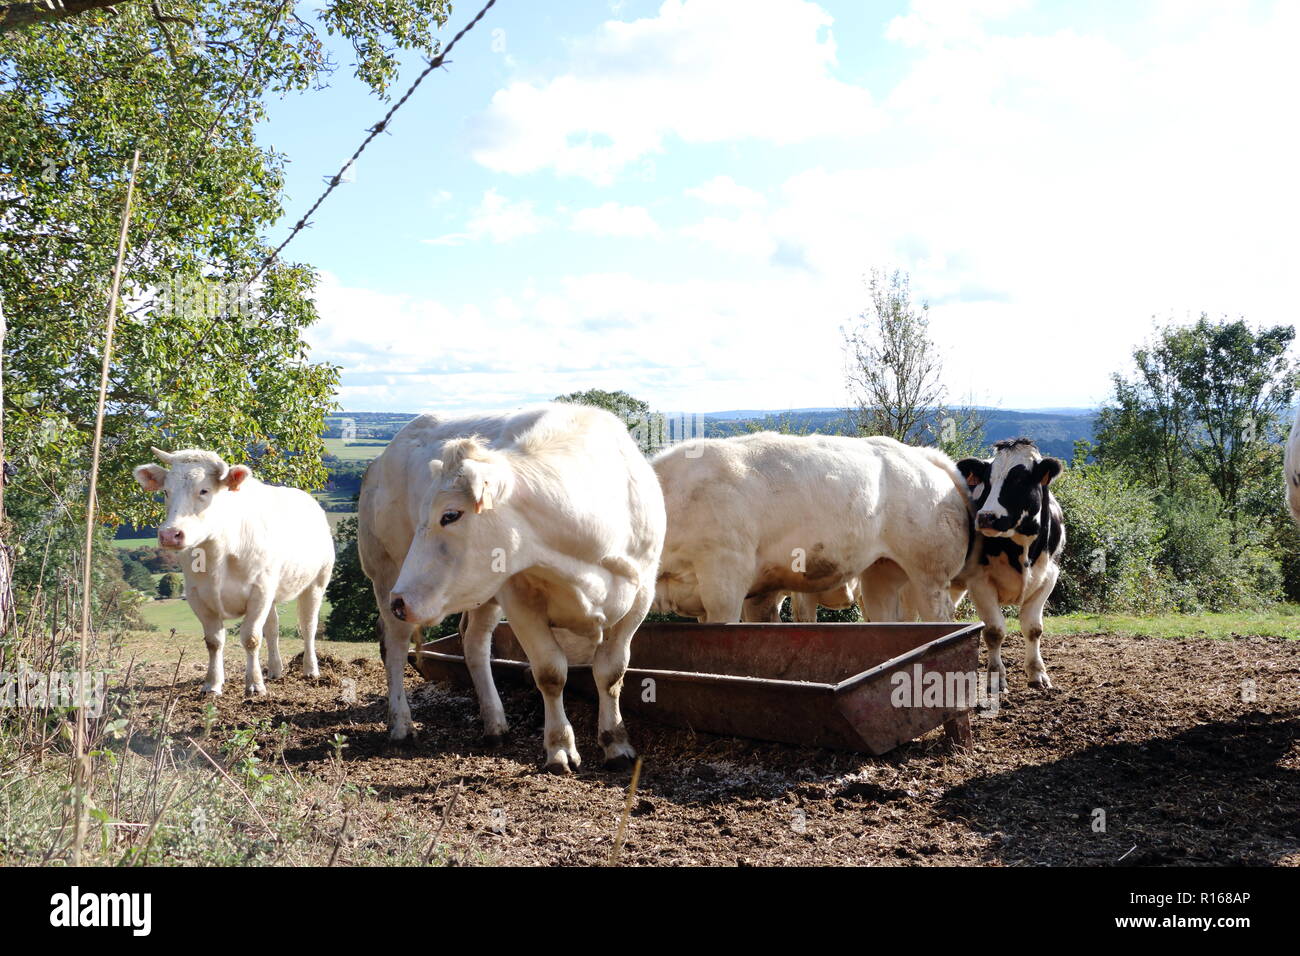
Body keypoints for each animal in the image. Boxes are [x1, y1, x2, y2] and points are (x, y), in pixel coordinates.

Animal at [131, 447, 332, 697]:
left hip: (316, 583)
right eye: (166, 491)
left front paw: (254, 684)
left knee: (308, 626)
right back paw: (275, 670)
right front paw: (212, 684)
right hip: (273, 592)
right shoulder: (198, 596)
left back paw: (311, 669)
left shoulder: (259, 591)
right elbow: (214, 641)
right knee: (273, 628)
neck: (218, 553)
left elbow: (251, 638)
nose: (170, 534)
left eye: (204, 490)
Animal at [356, 408, 660, 775]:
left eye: (450, 514)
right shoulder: (520, 600)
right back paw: (402, 725)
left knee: (474, 644)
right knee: (396, 647)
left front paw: (616, 744)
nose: (401, 600)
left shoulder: (640, 597)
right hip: (386, 572)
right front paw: (559, 748)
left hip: (481, 594)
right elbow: (550, 672)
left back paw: (495, 723)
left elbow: (611, 671)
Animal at [956, 437, 1066, 691]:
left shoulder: (1049, 577)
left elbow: (1034, 629)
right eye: (987, 480)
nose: (986, 516)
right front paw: (996, 678)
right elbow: (994, 631)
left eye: (1019, 479)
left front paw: (1037, 674)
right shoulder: (979, 582)